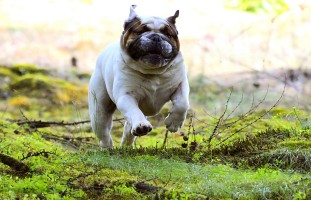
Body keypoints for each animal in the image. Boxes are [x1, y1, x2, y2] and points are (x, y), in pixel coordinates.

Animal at [88, 5, 190, 148]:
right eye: (140, 31)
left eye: (169, 35)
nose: (156, 37)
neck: (153, 72)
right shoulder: (125, 96)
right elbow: (133, 111)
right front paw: (142, 125)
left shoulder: (180, 85)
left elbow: (183, 104)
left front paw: (174, 122)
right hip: (99, 110)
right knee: (104, 132)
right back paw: (108, 147)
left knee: (128, 128)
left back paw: (127, 145)